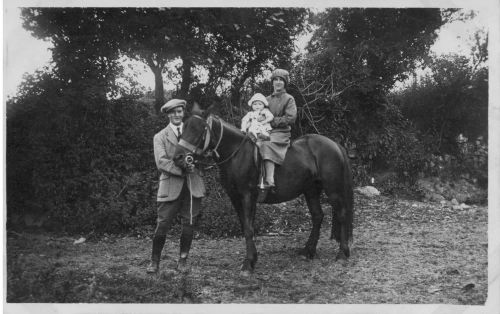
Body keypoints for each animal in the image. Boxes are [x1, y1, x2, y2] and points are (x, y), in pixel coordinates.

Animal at [174, 113, 354, 274]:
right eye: (183, 128)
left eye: (199, 130)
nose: (178, 157)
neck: (237, 154)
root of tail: (335, 145)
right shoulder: (235, 198)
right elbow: (246, 226)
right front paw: (252, 258)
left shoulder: (247, 196)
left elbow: (248, 228)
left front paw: (248, 264)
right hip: (311, 190)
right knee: (317, 216)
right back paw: (308, 251)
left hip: (333, 190)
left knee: (342, 215)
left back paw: (342, 254)